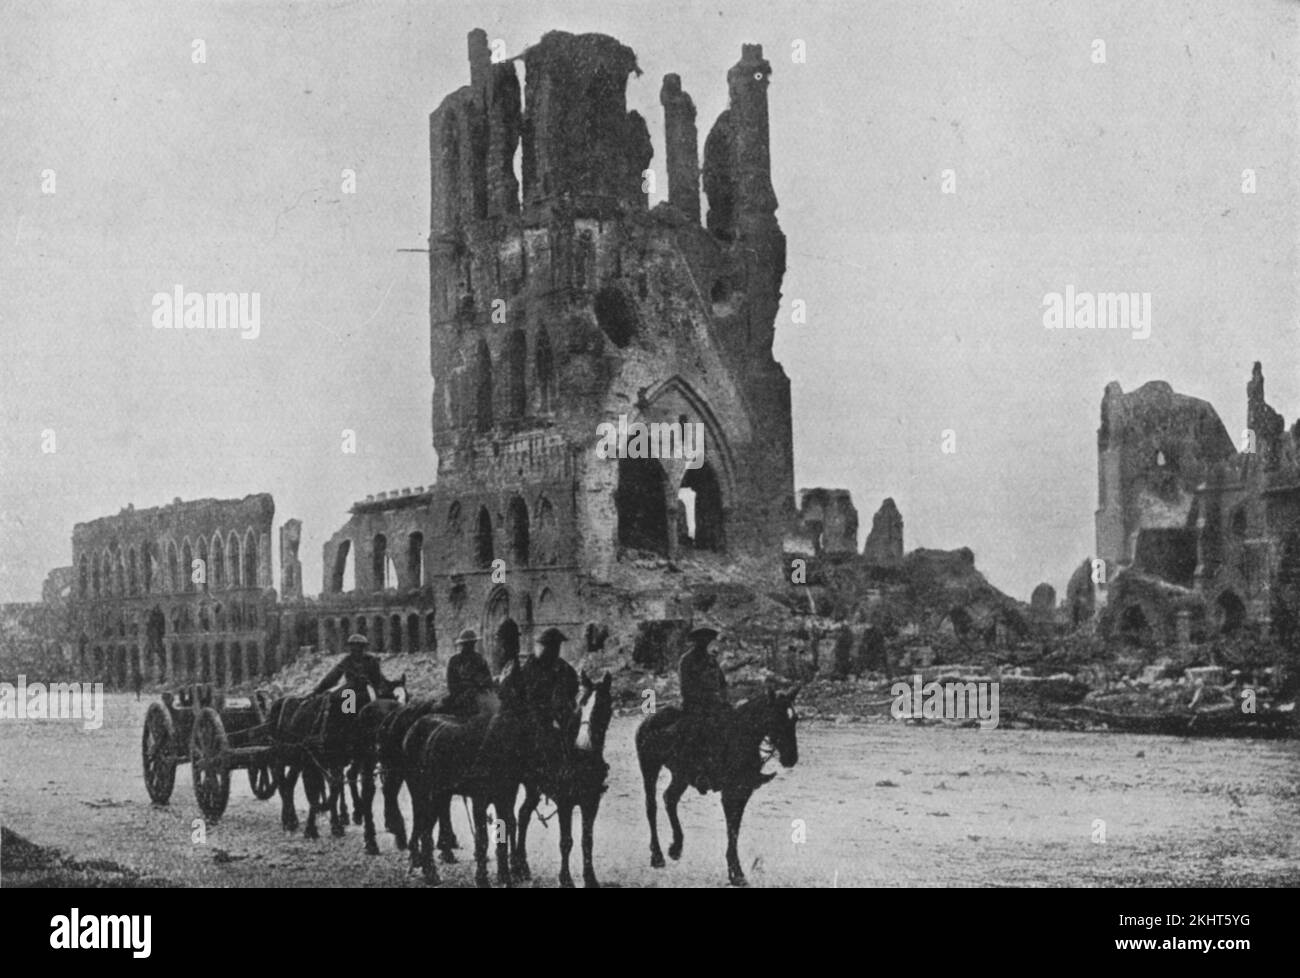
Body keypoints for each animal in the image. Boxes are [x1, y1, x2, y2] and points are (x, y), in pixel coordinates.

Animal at [266, 681, 403, 842]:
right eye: (380, 717)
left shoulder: (339, 761)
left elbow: (336, 789)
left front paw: (338, 823)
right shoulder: (316, 764)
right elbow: (316, 794)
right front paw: (313, 828)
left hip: (296, 761)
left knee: (289, 784)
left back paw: (293, 819)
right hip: (281, 757)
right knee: (282, 783)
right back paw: (288, 820)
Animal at [512, 671, 613, 884]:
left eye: (602, 705)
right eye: (581, 705)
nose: (584, 743)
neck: (580, 758)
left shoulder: (591, 802)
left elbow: (587, 840)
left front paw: (590, 878)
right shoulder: (565, 803)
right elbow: (566, 841)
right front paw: (566, 878)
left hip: (533, 788)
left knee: (523, 815)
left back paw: (522, 867)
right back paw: (514, 868)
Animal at [634, 686, 795, 884]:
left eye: (795, 719)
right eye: (776, 719)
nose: (791, 758)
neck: (740, 737)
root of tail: (649, 720)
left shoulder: (743, 793)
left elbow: (735, 829)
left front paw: (735, 873)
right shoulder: (729, 794)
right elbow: (731, 830)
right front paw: (737, 873)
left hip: (681, 775)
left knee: (669, 798)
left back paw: (676, 848)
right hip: (650, 767)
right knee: (651, 806)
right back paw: (657, 856)